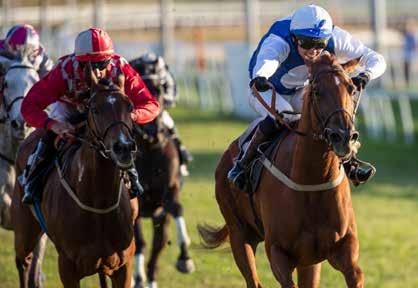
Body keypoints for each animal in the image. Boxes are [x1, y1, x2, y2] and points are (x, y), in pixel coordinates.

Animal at [131, 71, 195, 286]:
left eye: (159, 91)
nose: (154, 129)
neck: (150, 149)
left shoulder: (169, 191)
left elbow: (177, 208)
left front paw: (185, 259)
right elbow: (139, 244)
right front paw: (137, 278)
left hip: (159, 218)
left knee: (156, 251)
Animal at [198, 53, 364, 286]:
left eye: (351, 88)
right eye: (316, 91)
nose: (344, 137)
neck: (312, 180)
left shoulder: (343, 251)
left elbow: (355, 273)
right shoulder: (278, 252)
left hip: (308, 261)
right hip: (239, 234)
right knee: (253, 280)